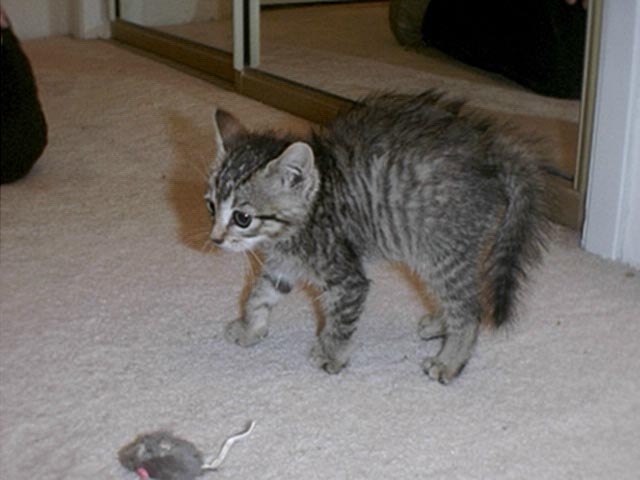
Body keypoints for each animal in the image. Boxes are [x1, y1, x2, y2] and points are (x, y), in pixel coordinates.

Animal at [205, 91, 548, 383]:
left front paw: (332, 355)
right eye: (211, 206)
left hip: (443, 248)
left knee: (469, 310)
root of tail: (488, 149)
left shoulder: (346, 276)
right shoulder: (283, 265)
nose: (216, 239)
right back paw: (440, 325)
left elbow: (341, 321)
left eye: (242, 218)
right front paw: (250, 329)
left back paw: (449, 362)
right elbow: (259, 295)